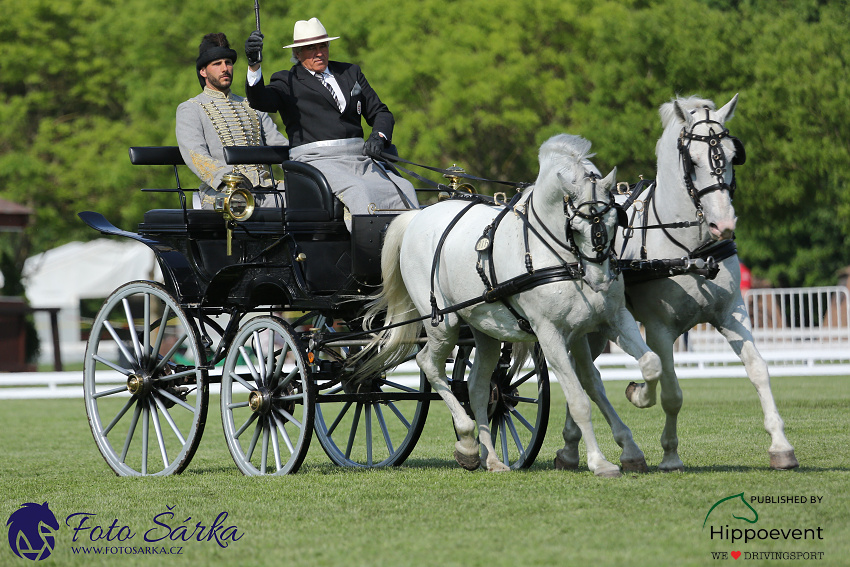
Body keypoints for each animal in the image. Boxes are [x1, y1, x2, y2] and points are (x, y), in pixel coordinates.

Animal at [354, 135, 660, 478]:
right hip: (442, 324)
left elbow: (637, 368)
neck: (555, 256)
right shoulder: (549, 334)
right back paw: (467, 439)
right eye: (576, 227)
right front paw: (599, 462)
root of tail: (418, 215)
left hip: (485, 330)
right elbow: (579, 398)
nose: (601, 281)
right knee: (428, 364)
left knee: (476, 386)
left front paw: (638, 404)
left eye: (614, 222)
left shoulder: (605, 323)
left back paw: (489, 457)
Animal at [556, 95, 796, 472]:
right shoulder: (659, 328)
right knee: (585, 376)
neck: (691, 250)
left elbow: (758, 370)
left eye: (733, 155)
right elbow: (670, 391)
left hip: (595, 327)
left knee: (584, 375)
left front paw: (780, 445)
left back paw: (572, 448)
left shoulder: (732, 314)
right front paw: (667, 450)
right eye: (692, 161)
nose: (723, 224)